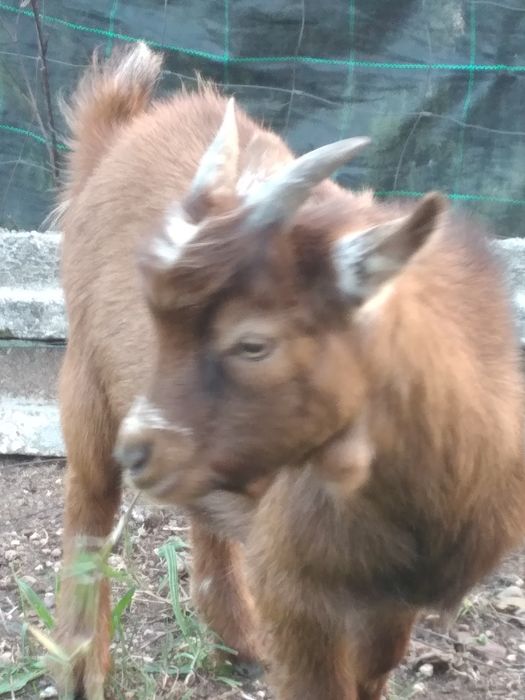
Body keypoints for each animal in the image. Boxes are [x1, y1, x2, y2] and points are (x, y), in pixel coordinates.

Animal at [55, 42, 525, 700]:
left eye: (253, 344)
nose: (140, 450)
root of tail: (117, 133)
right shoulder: (294, 588)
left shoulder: (391, 599)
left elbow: (374, 669)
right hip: (87, 377)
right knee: (89, 503)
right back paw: (81, 666)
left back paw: (237, 643)